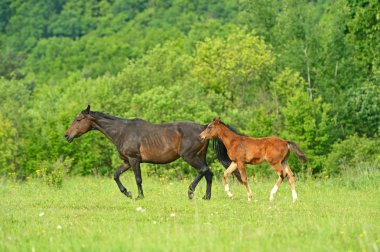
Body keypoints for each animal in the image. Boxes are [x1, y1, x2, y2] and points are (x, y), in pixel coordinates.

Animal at [63, 105, 239, 200]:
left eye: (78, 120)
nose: (66, 136)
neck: (122, 131)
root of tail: (203, 128)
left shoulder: (134, 160)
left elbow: (138, 179)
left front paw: (139, 196)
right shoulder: (126, 161)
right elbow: (116, 175)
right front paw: (127, 193)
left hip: (190, 157)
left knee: (203, 171)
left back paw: (190, 192)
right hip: (199, 157)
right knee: (208, 174)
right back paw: (206, 197)